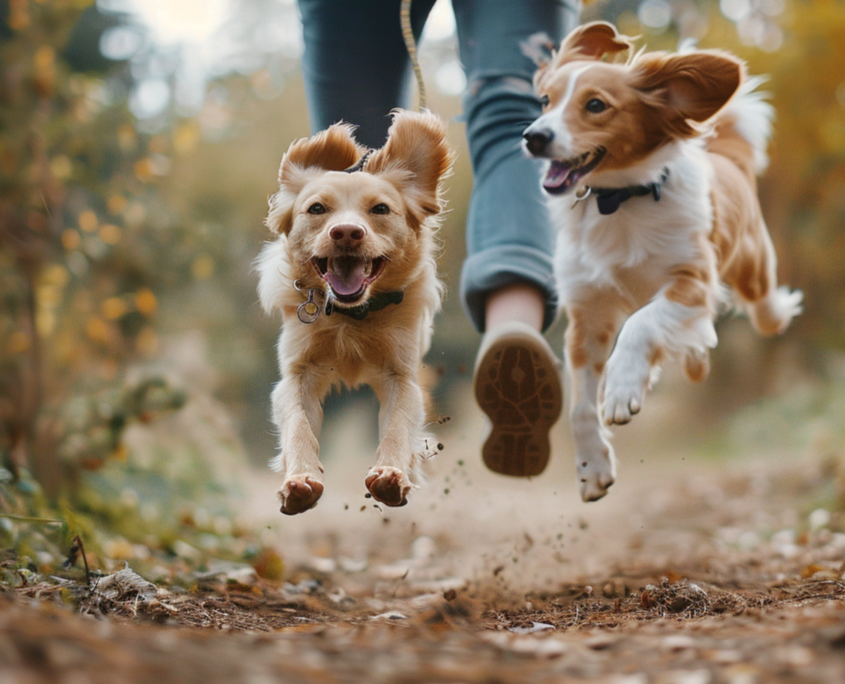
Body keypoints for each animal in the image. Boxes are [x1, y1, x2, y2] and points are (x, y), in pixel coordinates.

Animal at [256, 111, 452, 512]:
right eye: (316, 208)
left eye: (380, 209)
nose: (346, 232)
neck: (351, 317)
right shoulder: (297, 373)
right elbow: (298, 424)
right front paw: (300, 480)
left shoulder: (401, 374)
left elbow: (398, 424)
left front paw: (391, 475)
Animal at [524, 24, 800, 502]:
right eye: (545, 101)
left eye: (595, 105)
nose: (533, 137)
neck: (619, 200)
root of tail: (729, 159)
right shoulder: (587, 317)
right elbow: (580, 407)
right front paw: (592, 468)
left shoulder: (693, 281)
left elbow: (642, 323)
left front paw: (621, 387)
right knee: (697, 339)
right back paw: (695, 357)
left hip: (752, 267)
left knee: (761, 308)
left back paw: (778, 310)